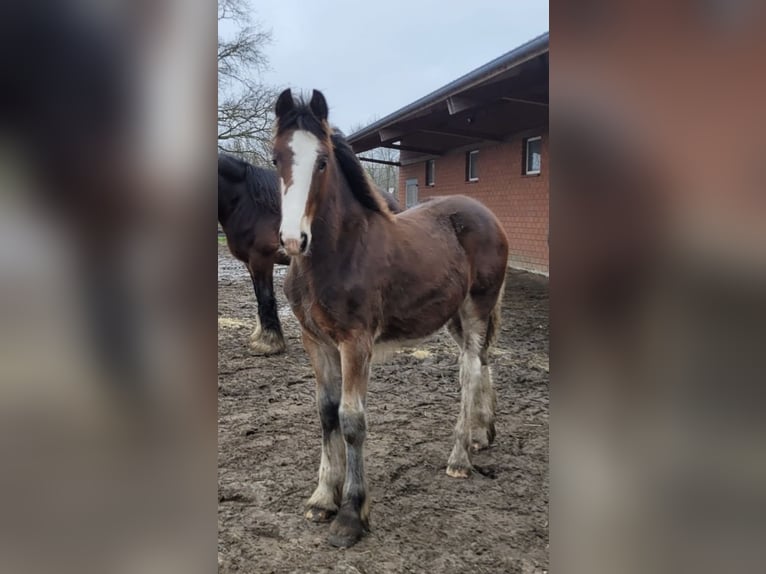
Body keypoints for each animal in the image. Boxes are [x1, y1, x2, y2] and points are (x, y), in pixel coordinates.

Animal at [272, 90, 512, 548]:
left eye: (323, 161)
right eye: (276, 158)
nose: (294, 240)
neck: (338, 253)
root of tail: (487, 214)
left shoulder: (355, 342)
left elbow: (351, 419)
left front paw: (351, 515)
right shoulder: (315, 341)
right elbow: (326, 412)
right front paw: (322, 499)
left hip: (477, 306)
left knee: (471, 371)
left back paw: (459, 458)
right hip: (454, 316)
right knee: (479, 363)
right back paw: (482, 435)